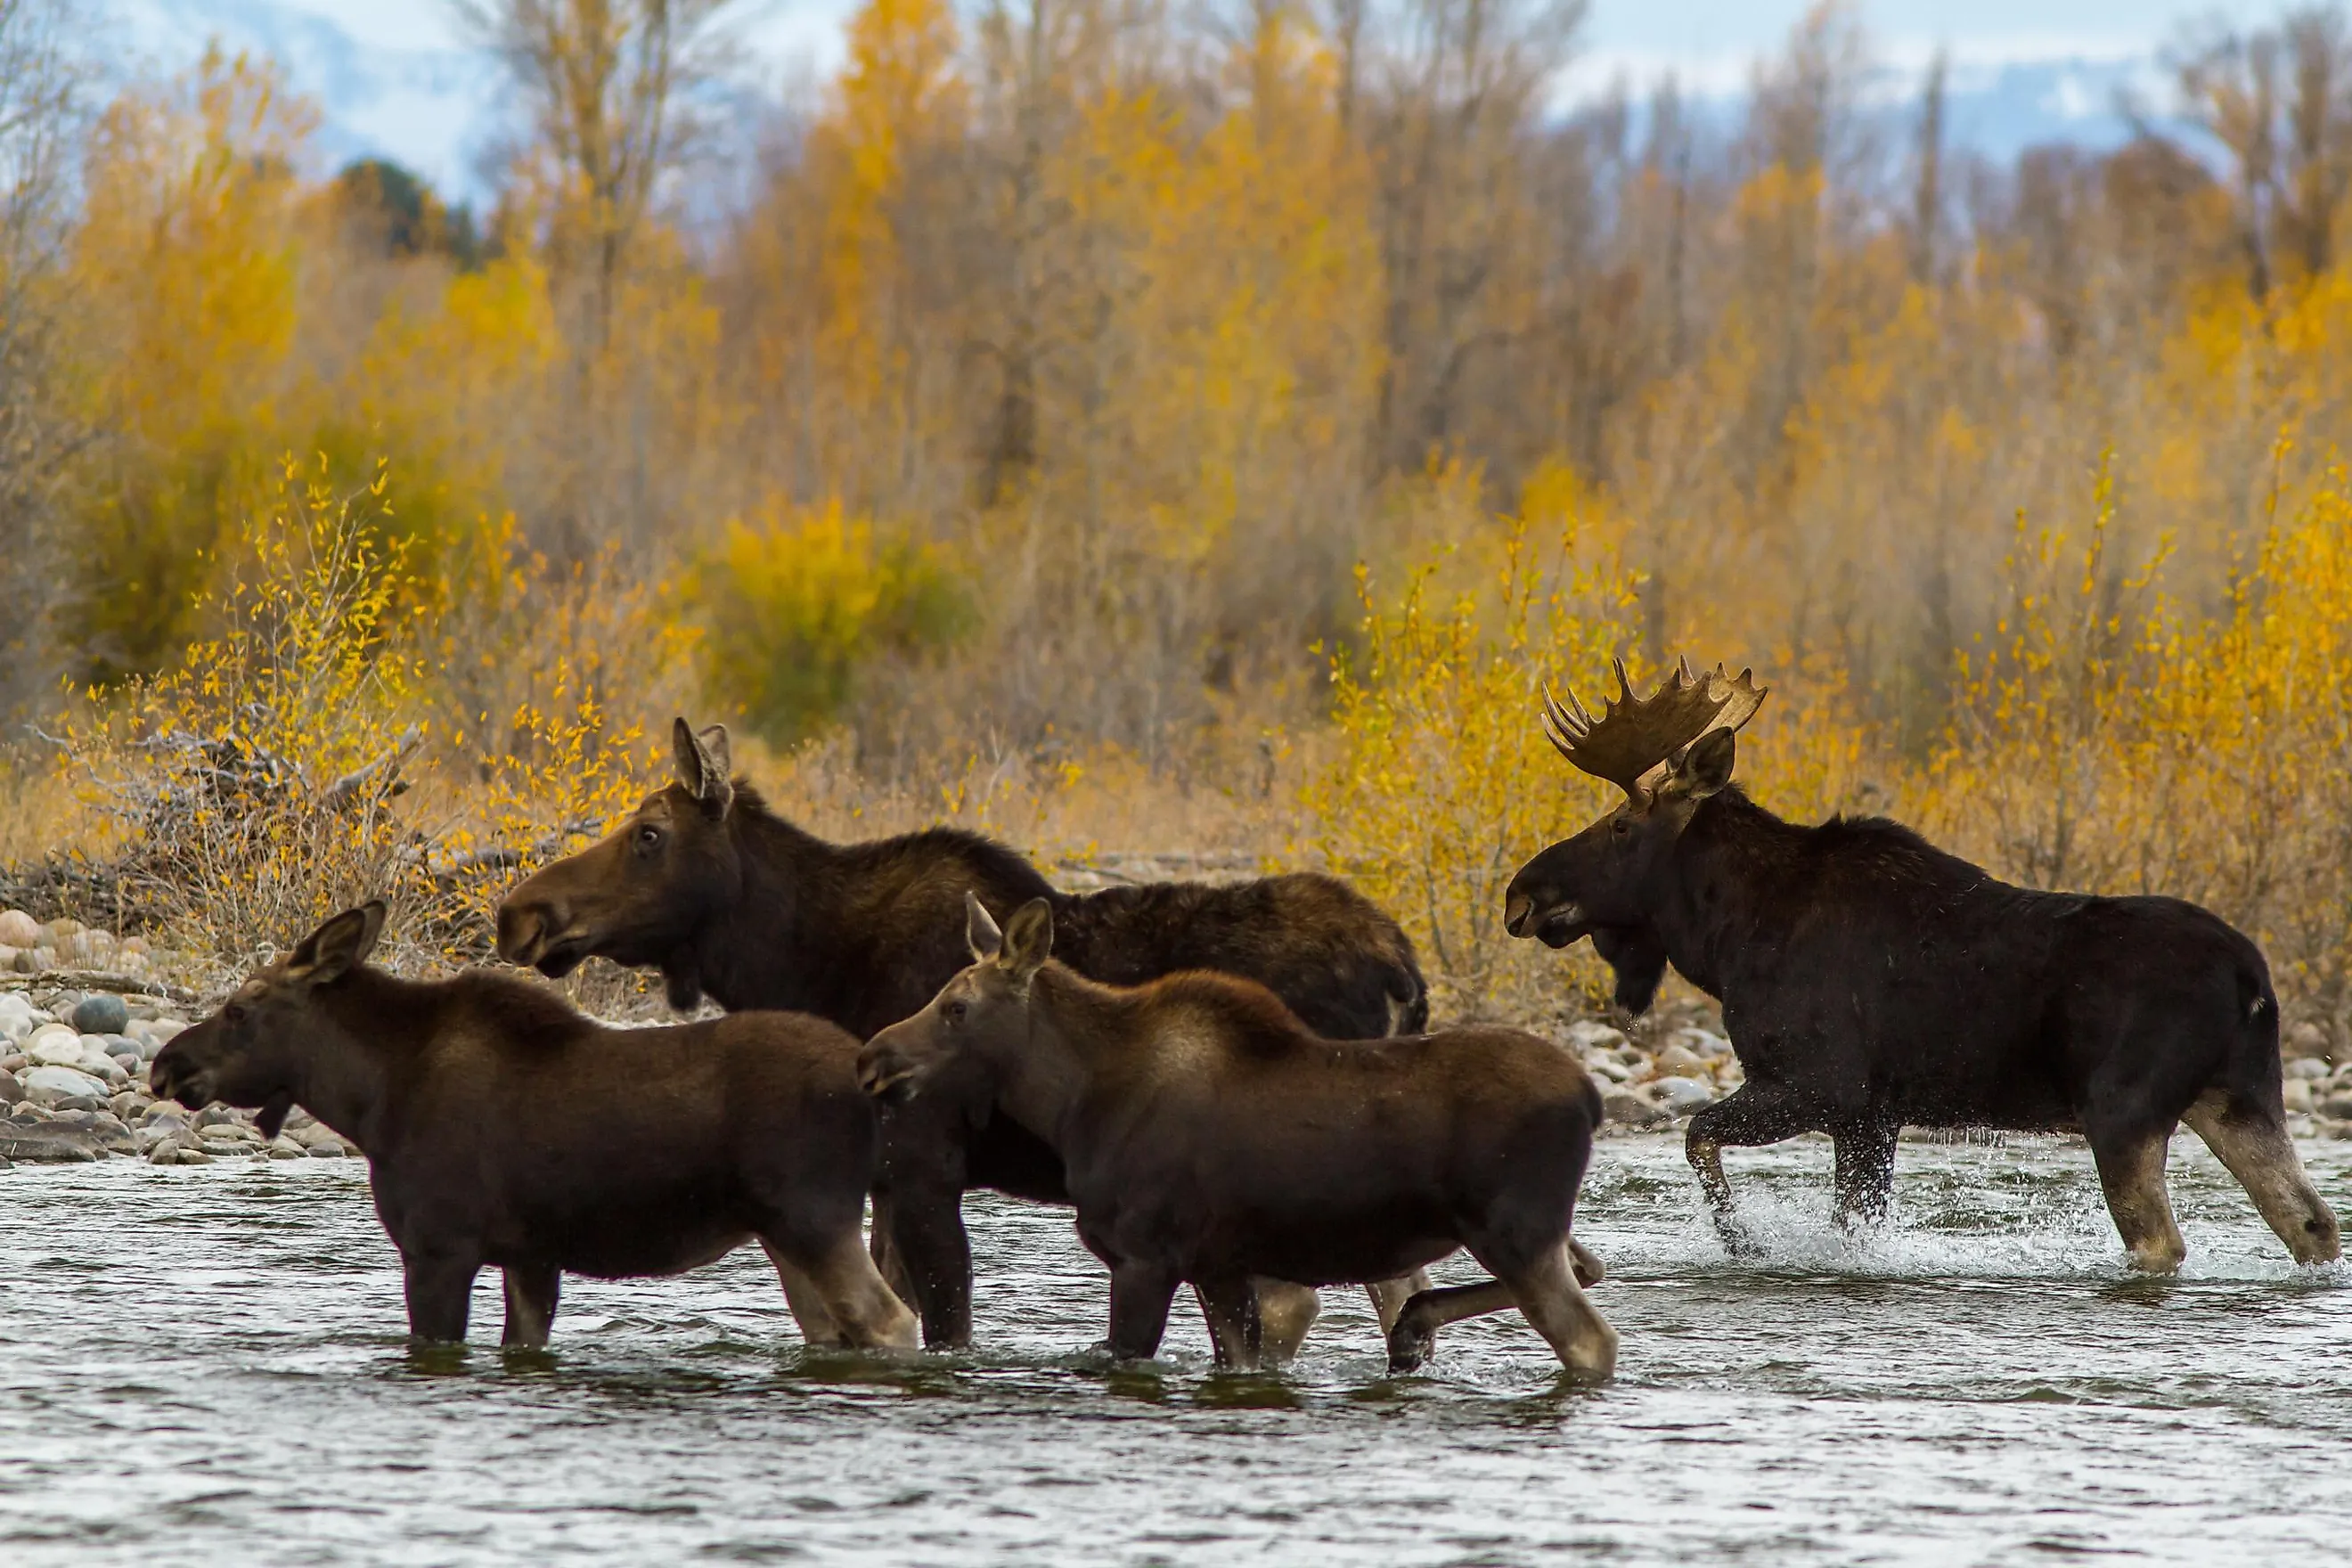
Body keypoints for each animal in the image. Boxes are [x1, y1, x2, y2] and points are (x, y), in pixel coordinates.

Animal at [149, 902, 917, 1353]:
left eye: (241, 1009)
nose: (165, 1064)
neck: (370, 1101)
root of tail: (869, 1078)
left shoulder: (439, 1246)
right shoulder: (531, 1256)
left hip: (813, 1217)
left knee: (892, 1320)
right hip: (785, 1234)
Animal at [496, 723, 1430, 1363]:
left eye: (649, 835)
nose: (520, 912)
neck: (802, 965)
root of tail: (1403, 967)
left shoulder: (923, 1168)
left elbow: (941, 1325)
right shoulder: (876, 1179)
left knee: (1303, 1305)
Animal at [861, 902, 1618, 1382]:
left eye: (956, 1007)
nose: (872, 1058)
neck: (1072, 1105)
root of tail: (1592, 1097)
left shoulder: (1144, 1256)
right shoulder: (1218, 1267)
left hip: (1515, 1232)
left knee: (1592, 1338)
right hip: (1522, 1230)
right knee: (1589, 1268)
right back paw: (1412, 1329)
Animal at [1496, 663, 2342, 1278]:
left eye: (1619, 826)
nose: (1521, 896)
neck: (1725, 938)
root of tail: (2253, 981)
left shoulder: (1821, 1083)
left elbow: (1697, 1135)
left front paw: (1745, 1244)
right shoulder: (1874, 1114)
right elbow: (1852, 1225)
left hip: (2124, 1109)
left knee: (2163, 1241)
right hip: (2239, 1097)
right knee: (2312, 1220)